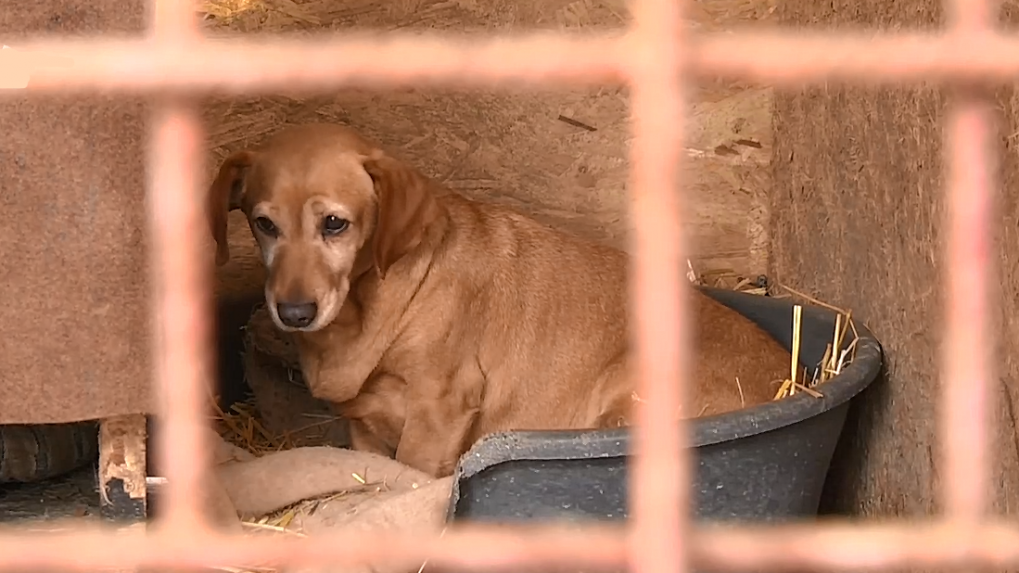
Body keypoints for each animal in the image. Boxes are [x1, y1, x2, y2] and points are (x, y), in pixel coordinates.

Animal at [206, 122, 790, 475]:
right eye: (263, 224)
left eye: (334, 223)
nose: (293, 313)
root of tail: (795, 381)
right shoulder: (365, 429)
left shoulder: (438, 411)